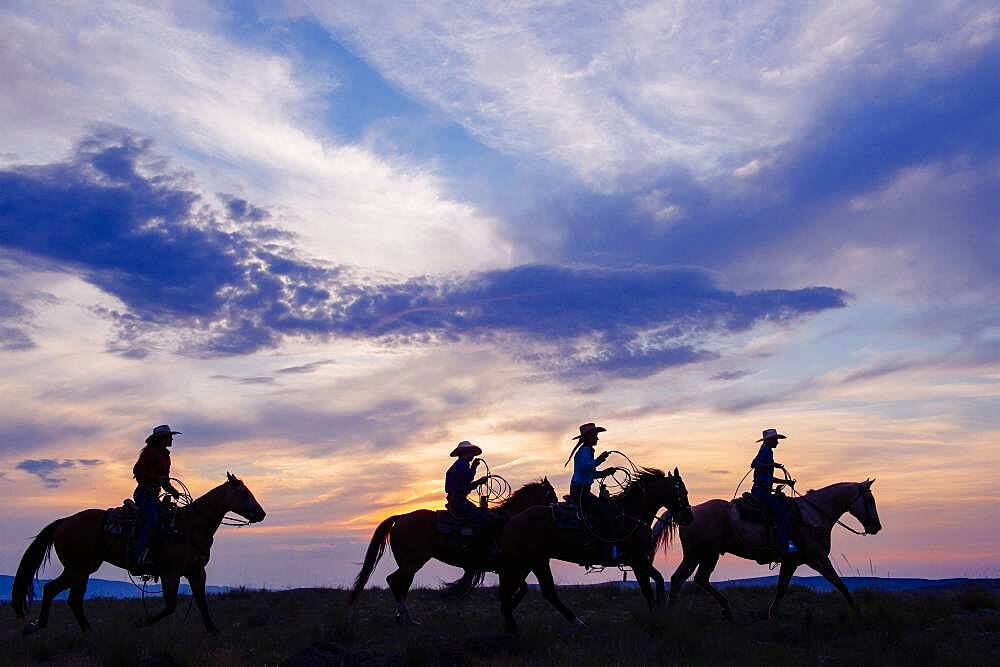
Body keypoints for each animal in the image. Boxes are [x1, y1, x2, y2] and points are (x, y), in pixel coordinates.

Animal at [10, 472, 266, 636]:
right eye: (244, 492)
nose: (261, 514)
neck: (189, 525)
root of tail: (64, 522)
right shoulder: (170, 572)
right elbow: (171, 605)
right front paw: (141, 622)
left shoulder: (196, 571)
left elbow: (202, 602)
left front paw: (212, 630)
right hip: (79, 568)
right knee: (58, 592)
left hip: (81, 569)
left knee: (63, 595)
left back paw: (72, 630)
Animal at [348, 478, 560, 624]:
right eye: (552, 495)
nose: (557, 512)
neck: (508, 522)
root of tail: (401, 517)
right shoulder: (510, 566)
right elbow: (519, 588)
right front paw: (507, 608)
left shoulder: (507, 567)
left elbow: (522, 587)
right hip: (413, 561)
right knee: (394, 581)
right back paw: (406, 618)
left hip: (409, 563)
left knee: (401, 584)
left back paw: (404, 618)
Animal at [500, 470, 696, 632]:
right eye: (683, 491)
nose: (689, 517)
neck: (631, 513)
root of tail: (511, 521)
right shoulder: (638, 561)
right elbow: (649, 588)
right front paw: (656, 617)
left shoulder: (639, 561)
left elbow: (658, 580)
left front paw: (660, 611)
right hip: (530, 561)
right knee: (524, 590)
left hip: (531, 562)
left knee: (529, 591)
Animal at [664, 480, 884, 620]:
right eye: (870, 500)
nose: (876, 527)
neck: (811, 515)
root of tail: (689, 511)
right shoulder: (818, 558)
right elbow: (839, 583)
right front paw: (858, 612)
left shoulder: (791, 561)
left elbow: (782, 587)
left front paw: (772, 614)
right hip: (698, 554)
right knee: (681, 578)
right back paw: (671, 613)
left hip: (707, 555)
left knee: (696, 578)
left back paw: (724, 609)